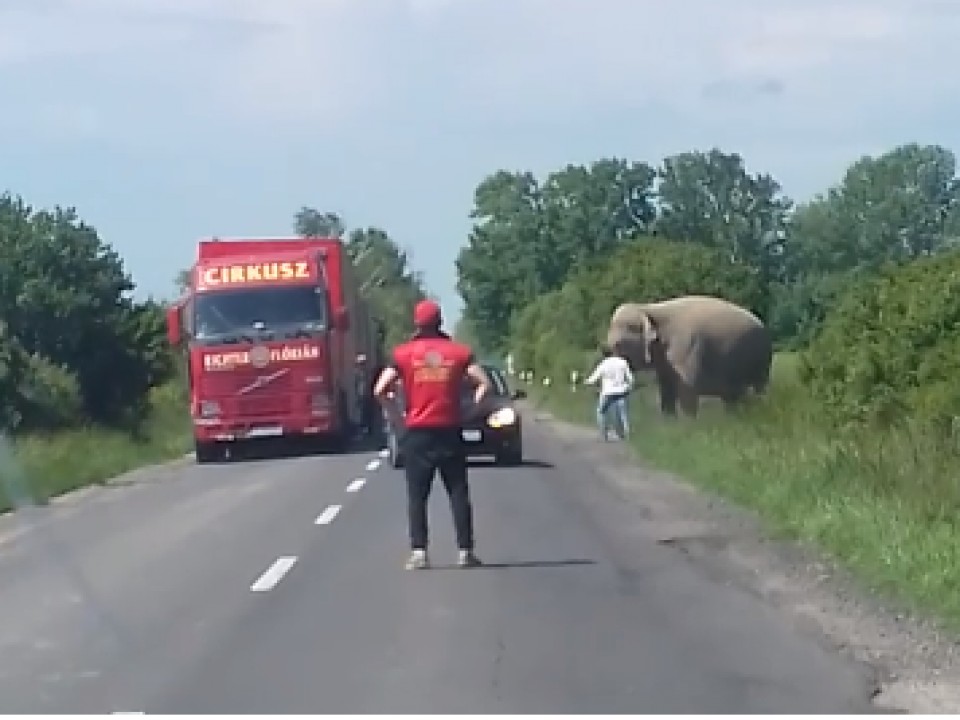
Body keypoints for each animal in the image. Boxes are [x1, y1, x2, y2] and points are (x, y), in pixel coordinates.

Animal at [608, 294, 772, 416]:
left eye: (618, 345)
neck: (648, 308)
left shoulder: (686, 348)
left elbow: (687, 389)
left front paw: (689, 427)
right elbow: (666, 388)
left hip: (762, 357)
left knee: (759, 388)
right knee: (735, 397)